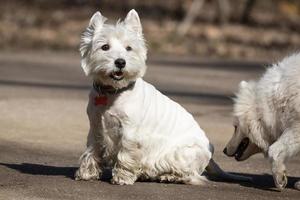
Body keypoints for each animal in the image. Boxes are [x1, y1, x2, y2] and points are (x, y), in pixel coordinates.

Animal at [75, 9, 251, 184]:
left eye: (128, 48)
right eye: (105, 47)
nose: (120, 62)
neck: (113, 92)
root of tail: (210, 156)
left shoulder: (130, 132)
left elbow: (125, 154)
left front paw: (122, 178)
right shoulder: (96, 127)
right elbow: (92, 150)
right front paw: (86, 173)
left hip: (183, 153)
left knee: (191, 174)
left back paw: (168, 176)